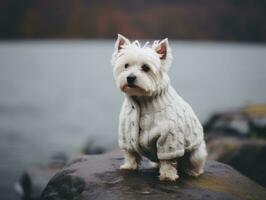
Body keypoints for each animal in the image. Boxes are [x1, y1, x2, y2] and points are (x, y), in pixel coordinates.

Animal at [111, 34, 207, 181]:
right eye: (126, 65)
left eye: (146, 68)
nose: (130, 78)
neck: (141, 99)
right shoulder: (126, 134)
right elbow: (130, 153)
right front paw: (128, 166)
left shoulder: (169, 138)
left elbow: (168, 160)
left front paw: (167, 176)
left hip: (196, 152)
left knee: (194, 162)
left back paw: (192, 171)